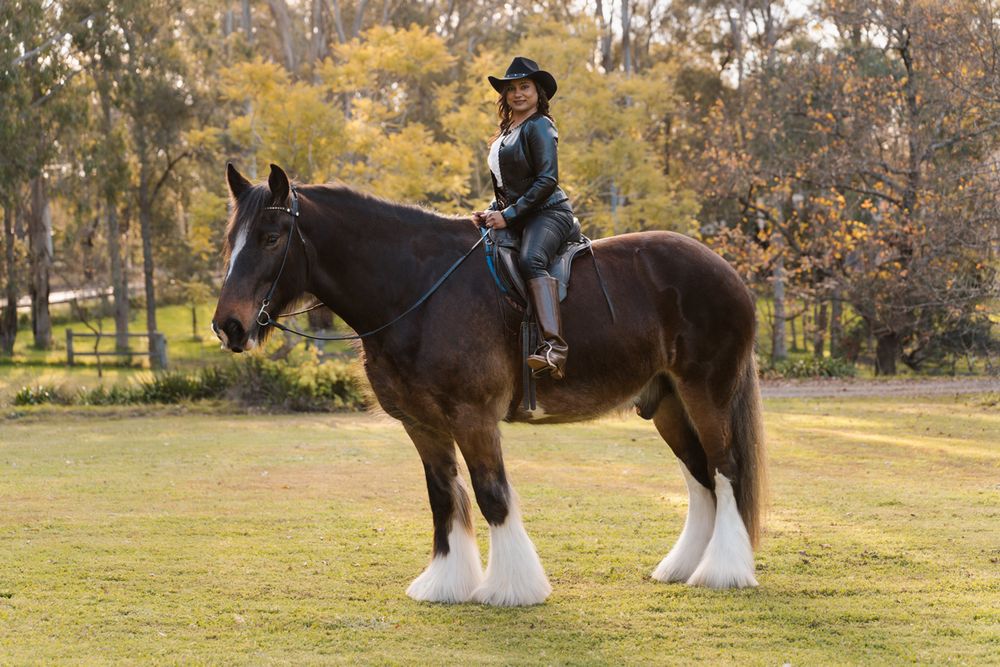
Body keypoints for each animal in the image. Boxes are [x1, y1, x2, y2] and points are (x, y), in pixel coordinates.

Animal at [212, 163, 767, 606]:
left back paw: (723, 572)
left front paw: (512, 588)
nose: (229, 326)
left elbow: (491, 494)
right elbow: (443, 496)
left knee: (725, 469)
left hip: (706, 393)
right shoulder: (421, 423)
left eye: (271, 237)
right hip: (668, 402)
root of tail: (727, 272)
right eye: (231, 239)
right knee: (700, 475)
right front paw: (445, 583)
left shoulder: (473, 416)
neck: (417, 289)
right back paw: (685, 567)